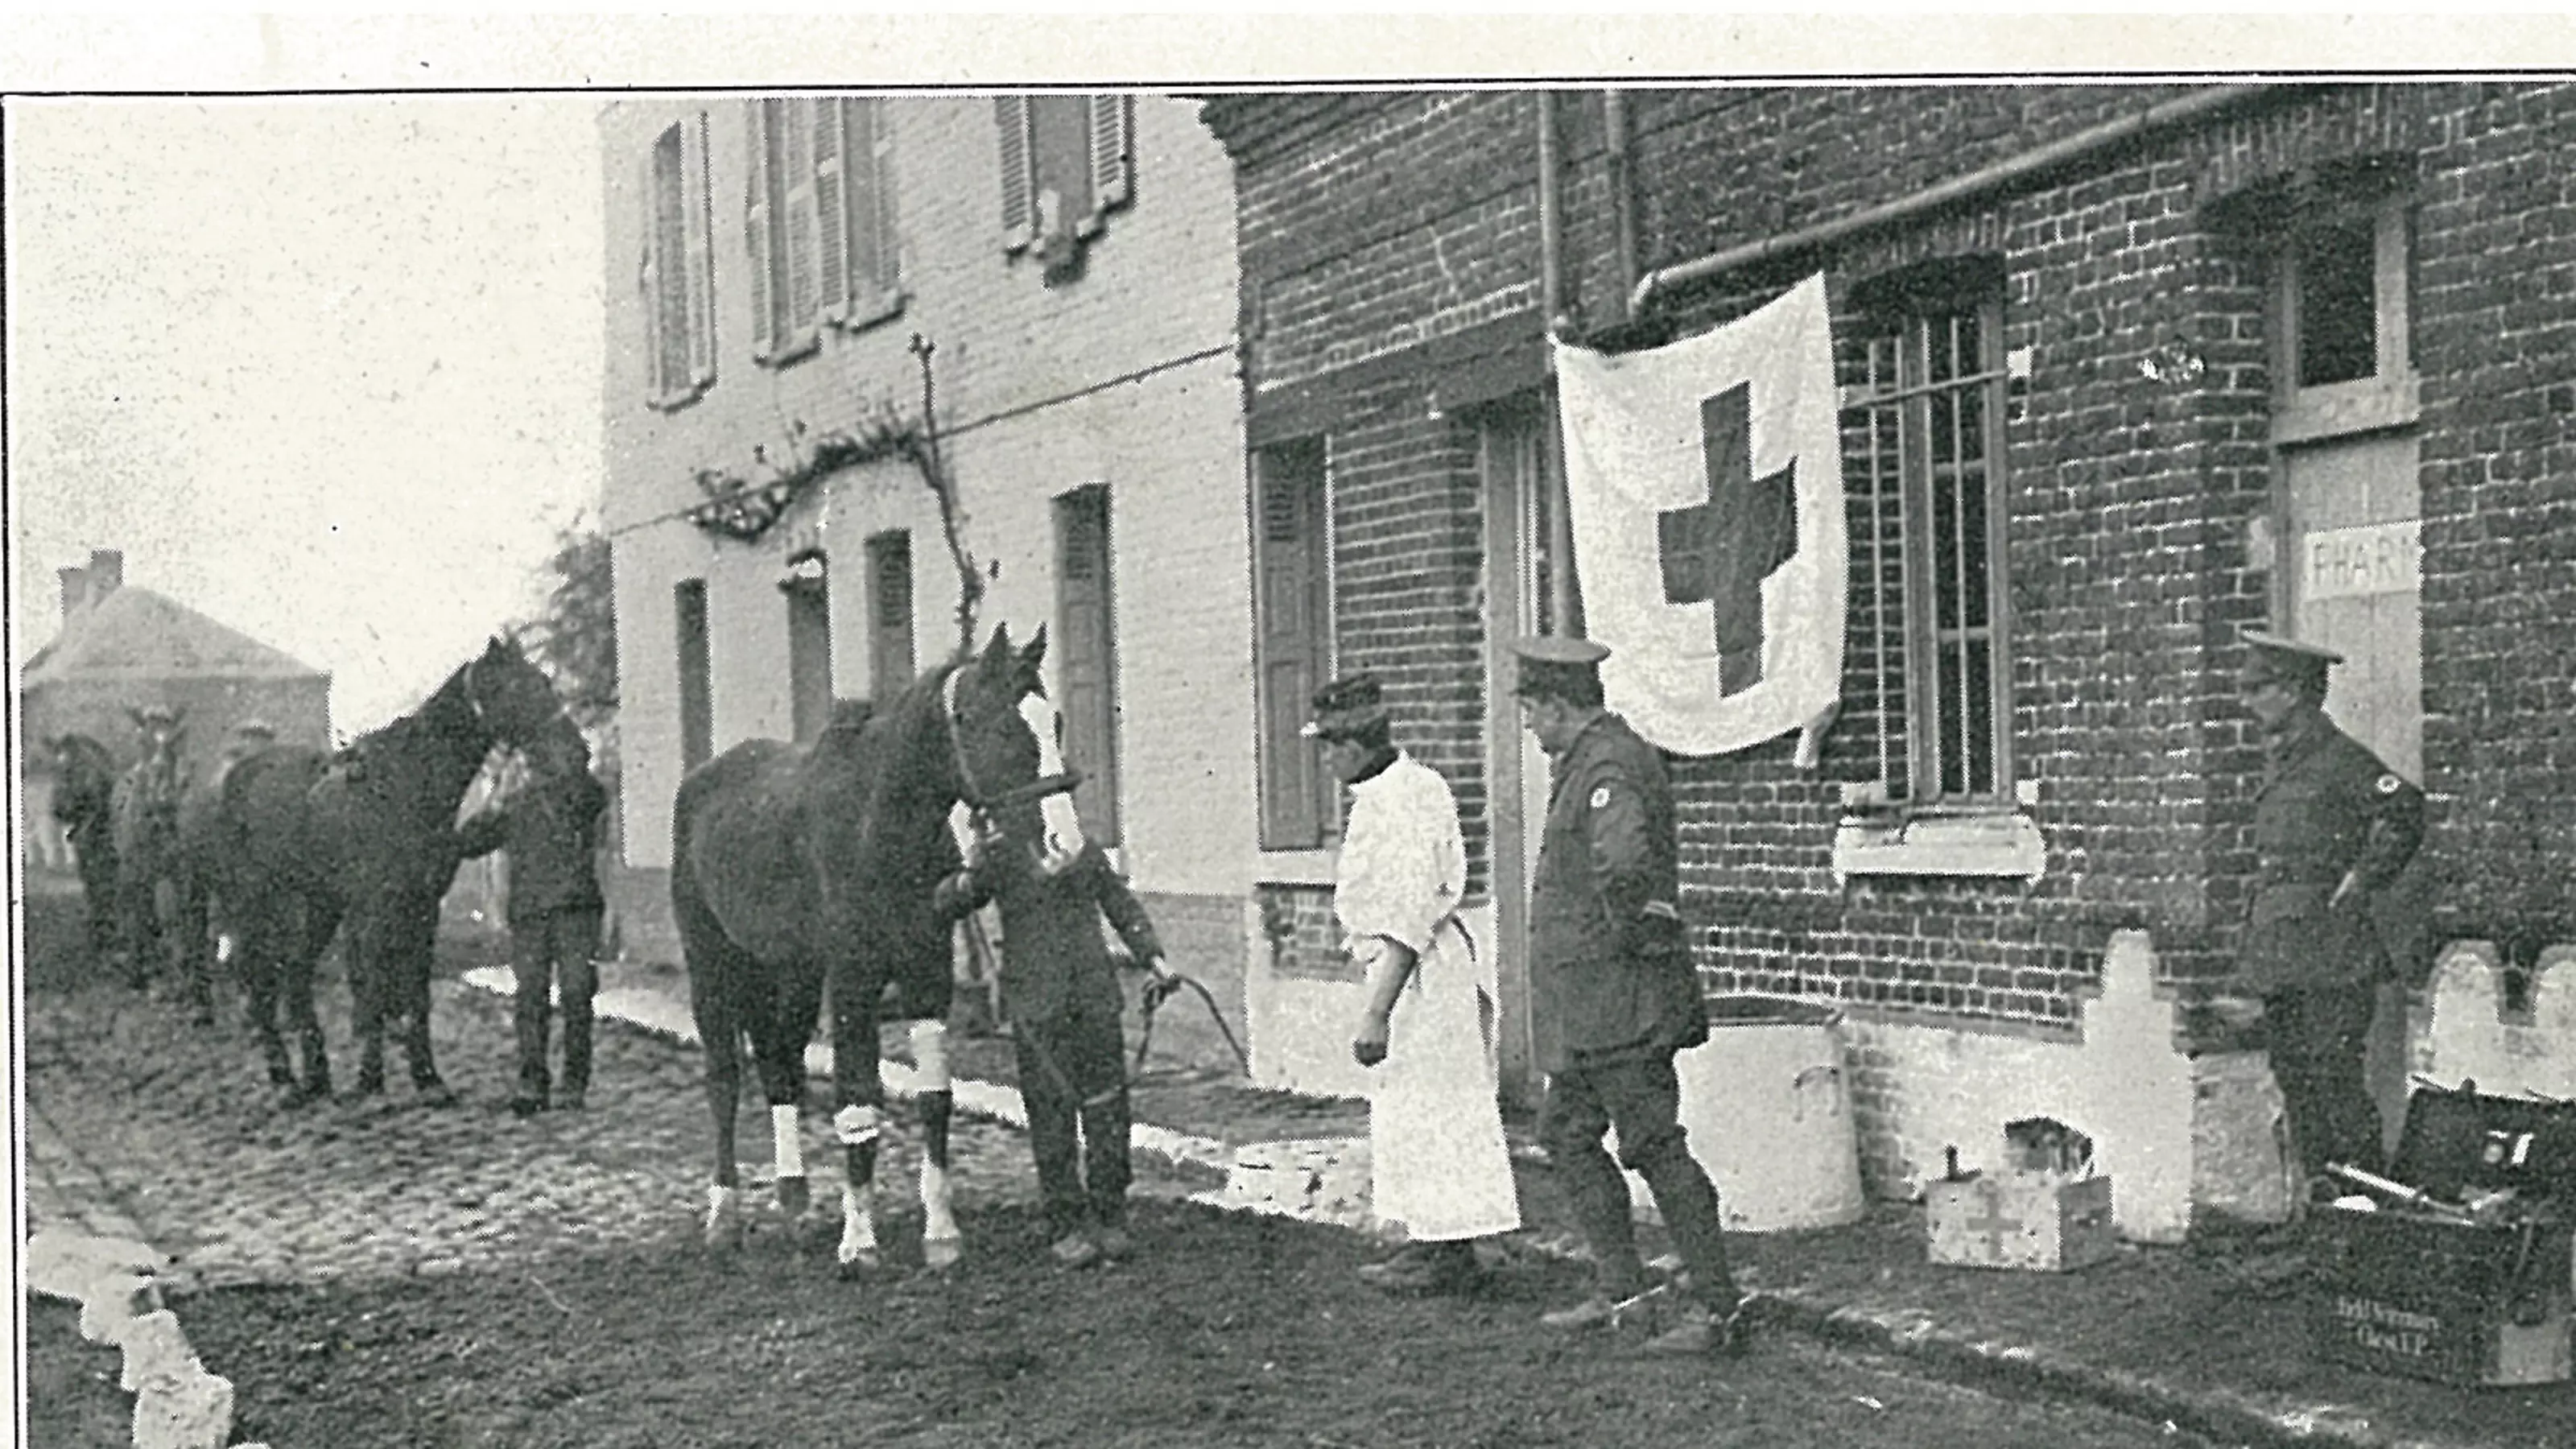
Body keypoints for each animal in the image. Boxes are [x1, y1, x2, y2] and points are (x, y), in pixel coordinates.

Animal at [43, 732, 122, 959]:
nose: (58, 810)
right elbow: (95, 897)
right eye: (52, 769)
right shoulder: (89, 868)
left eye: (75, 767)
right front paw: (98, 940)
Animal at [220, 631, 564, 1093]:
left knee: (296, 969)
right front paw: (371, 1077)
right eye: (510, 686)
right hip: (257, 899)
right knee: (259, 976)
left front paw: (428, 1077)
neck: (406, 787)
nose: (563, 746)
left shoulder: (424, 906)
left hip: (321, 903)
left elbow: (417, 991)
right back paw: (284, 1076)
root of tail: (244, 771)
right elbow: (374, 989)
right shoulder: (376, 908)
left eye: (542, 680)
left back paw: (317, 1075)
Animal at [675, 613, 1087, 1268]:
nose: (1063, 844)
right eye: (1003, 726)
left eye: (1056, 723)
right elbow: (857, 1102)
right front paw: (859, 1242)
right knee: (724, 1080)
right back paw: (724, 1217)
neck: (879, 824)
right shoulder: (853, 980)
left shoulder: (927, 972)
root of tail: (701, 781)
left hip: (790, 972)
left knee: (780, 1066)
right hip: (712, 967)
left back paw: (795, 1201)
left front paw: (941, 1233)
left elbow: (935, 1097)